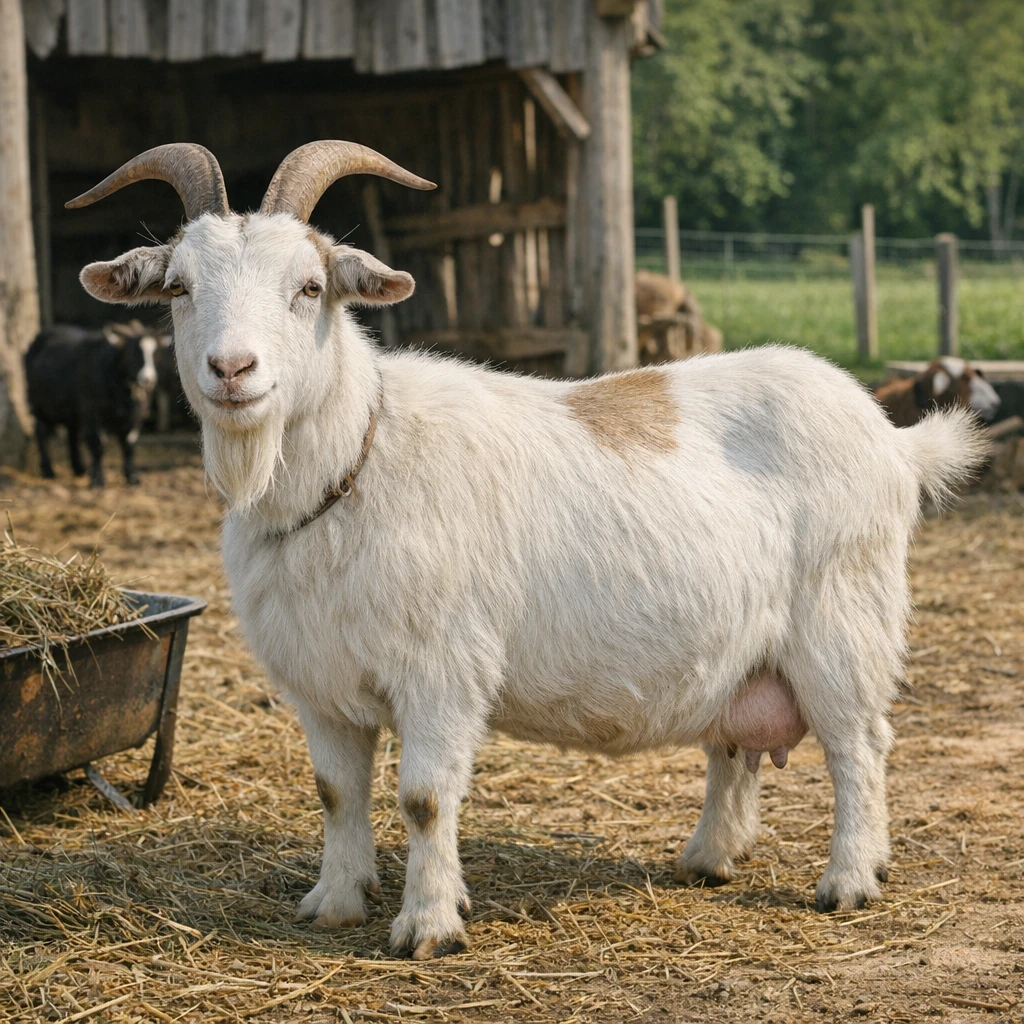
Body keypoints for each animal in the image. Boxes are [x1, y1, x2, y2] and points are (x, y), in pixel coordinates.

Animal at [25, 320, 159, 486]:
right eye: (132, 351)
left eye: (155, 353)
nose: (149, 379)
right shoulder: (92, 412)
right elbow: (97, 445)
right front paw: (98, 480)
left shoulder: (136, 415)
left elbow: (129, 444)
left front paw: (132, 477)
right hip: (40, 405)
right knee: (42, 432)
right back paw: (48, 470)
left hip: (70, 408)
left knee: (72, 433)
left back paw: (78, 468)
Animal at [70, 143, 988, 960]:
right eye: (181, 287)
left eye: (309, 287)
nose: (233, 370)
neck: (355, 461)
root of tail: (893, 440)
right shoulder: (320, 684)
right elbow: (335, 793)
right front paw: (334, 902)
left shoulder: (441, 669)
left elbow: (423, 799)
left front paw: (428, 927)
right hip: (744, 652)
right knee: (735, 747)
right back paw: (708, 858)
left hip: (844, 624)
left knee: (859, 747)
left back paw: (850, 880)